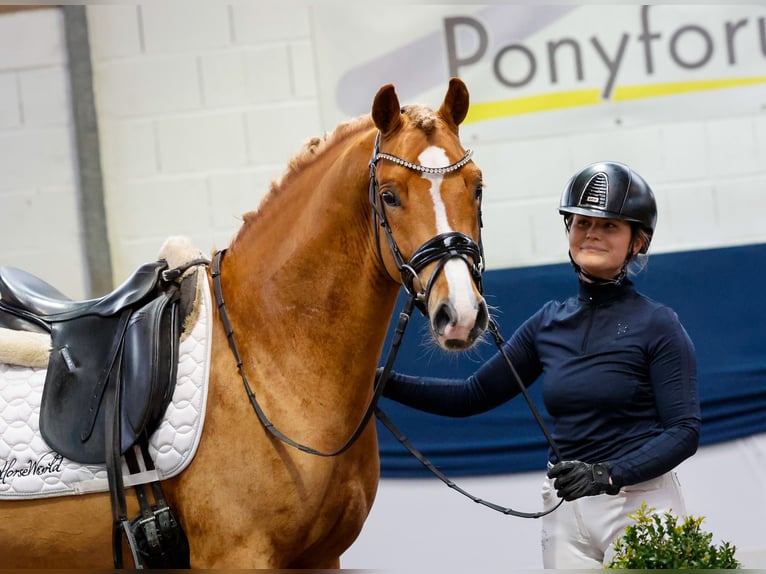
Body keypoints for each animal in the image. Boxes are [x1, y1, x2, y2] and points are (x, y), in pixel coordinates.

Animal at [0, 77, 492, 572]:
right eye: (389, 195)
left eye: (477, 187)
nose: (461, 314)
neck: (265, 357)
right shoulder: (237, 555)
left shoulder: (322, 558)